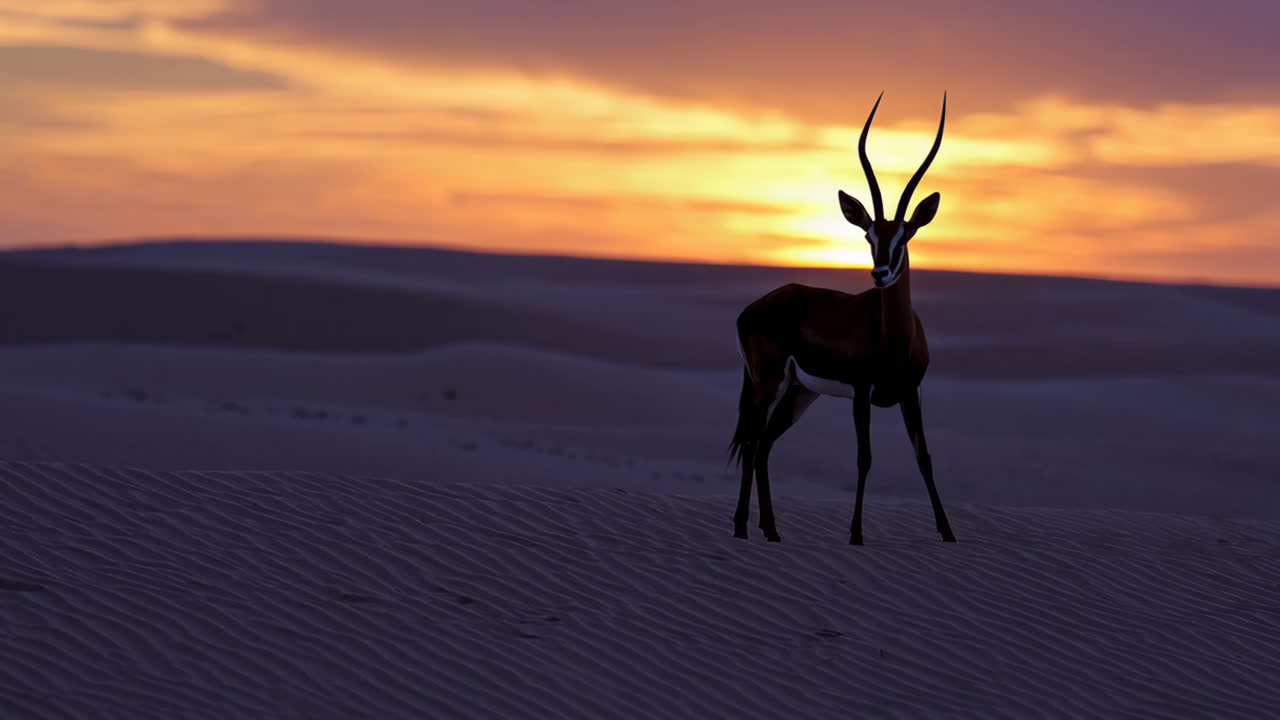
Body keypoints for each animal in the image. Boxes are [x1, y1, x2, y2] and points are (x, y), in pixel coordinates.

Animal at [729, 92, 956, 545]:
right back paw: (743, 527)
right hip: (768, 383)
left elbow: (924, 457)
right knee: (751, 440)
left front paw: (948, 533)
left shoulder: (910, 392)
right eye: (869, 235)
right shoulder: (862, 393)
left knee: (763, 444)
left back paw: (771, 531)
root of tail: (755, 307)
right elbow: (864, 458)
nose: (880, 273)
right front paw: (855, 535)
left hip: (799, 393)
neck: (895, 337)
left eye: (903, 237)